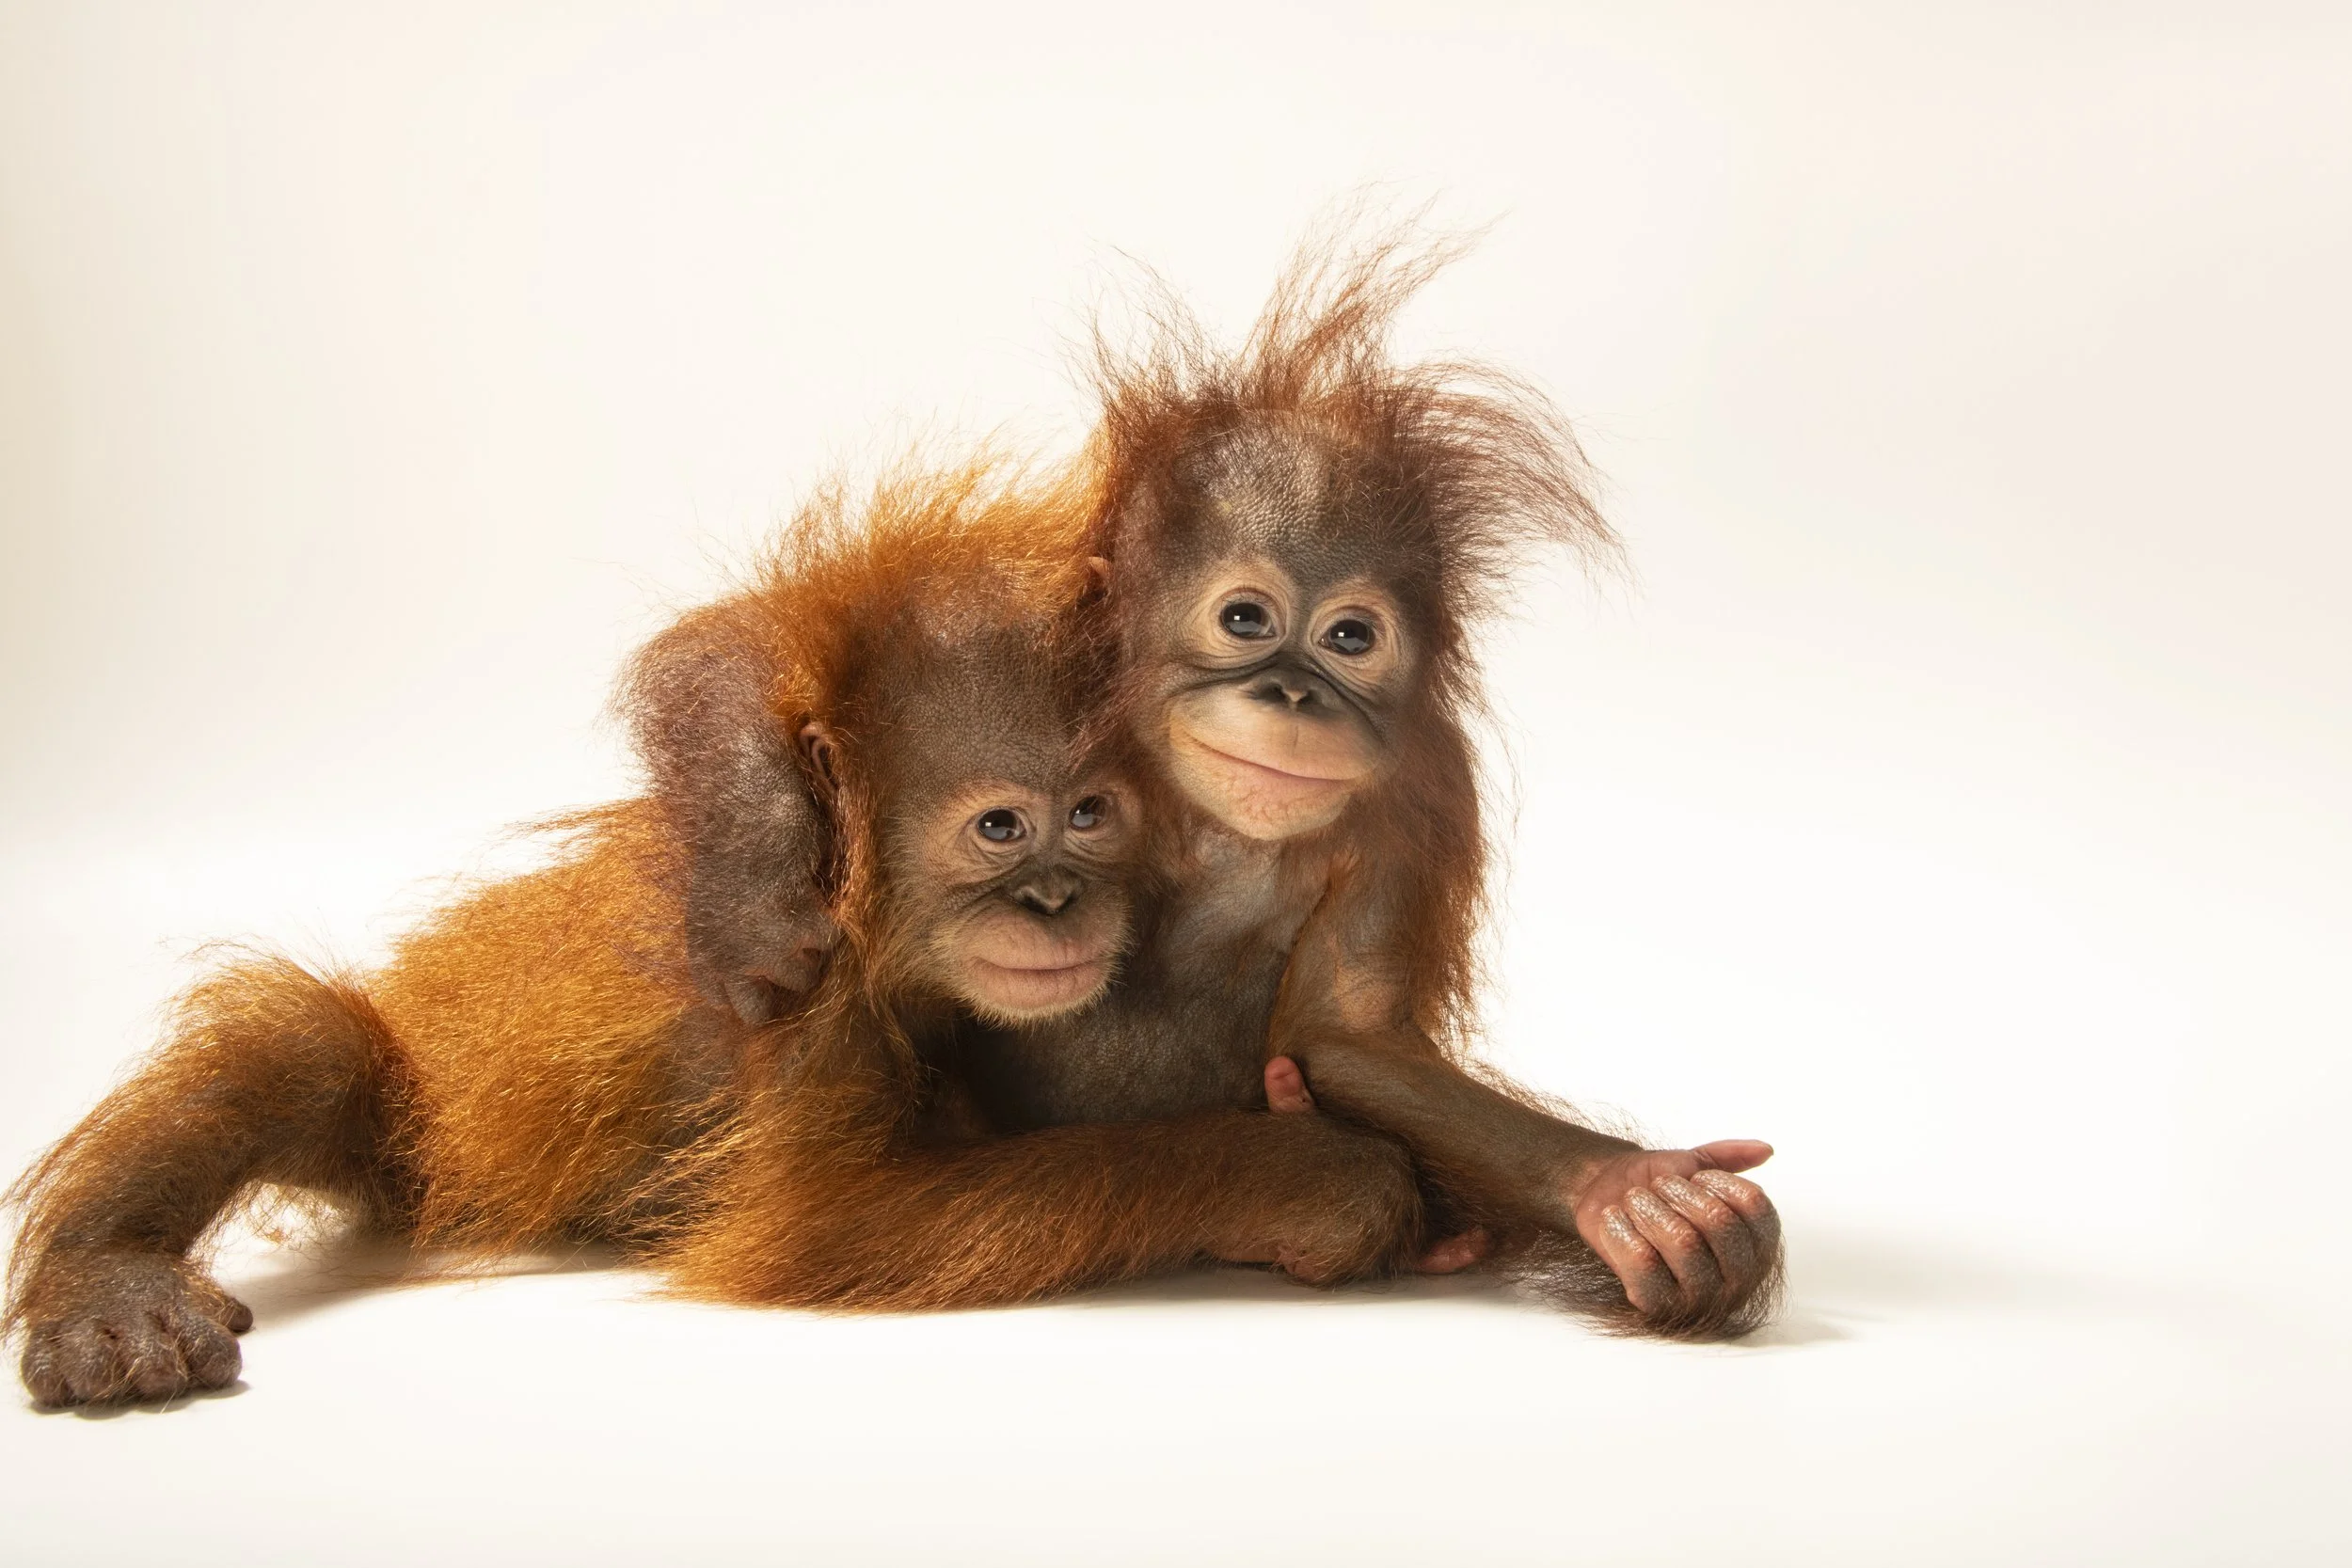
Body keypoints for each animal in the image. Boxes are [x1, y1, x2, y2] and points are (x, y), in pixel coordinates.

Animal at [4, 464, 1424, 1408]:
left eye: (1095, 816)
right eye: (1004, 828)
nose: (1060, 903)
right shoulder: (808, 999)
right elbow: (835, 1222)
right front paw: (1304, 1176)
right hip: (411, 1112)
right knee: (302, 1046)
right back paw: (109, 1285)